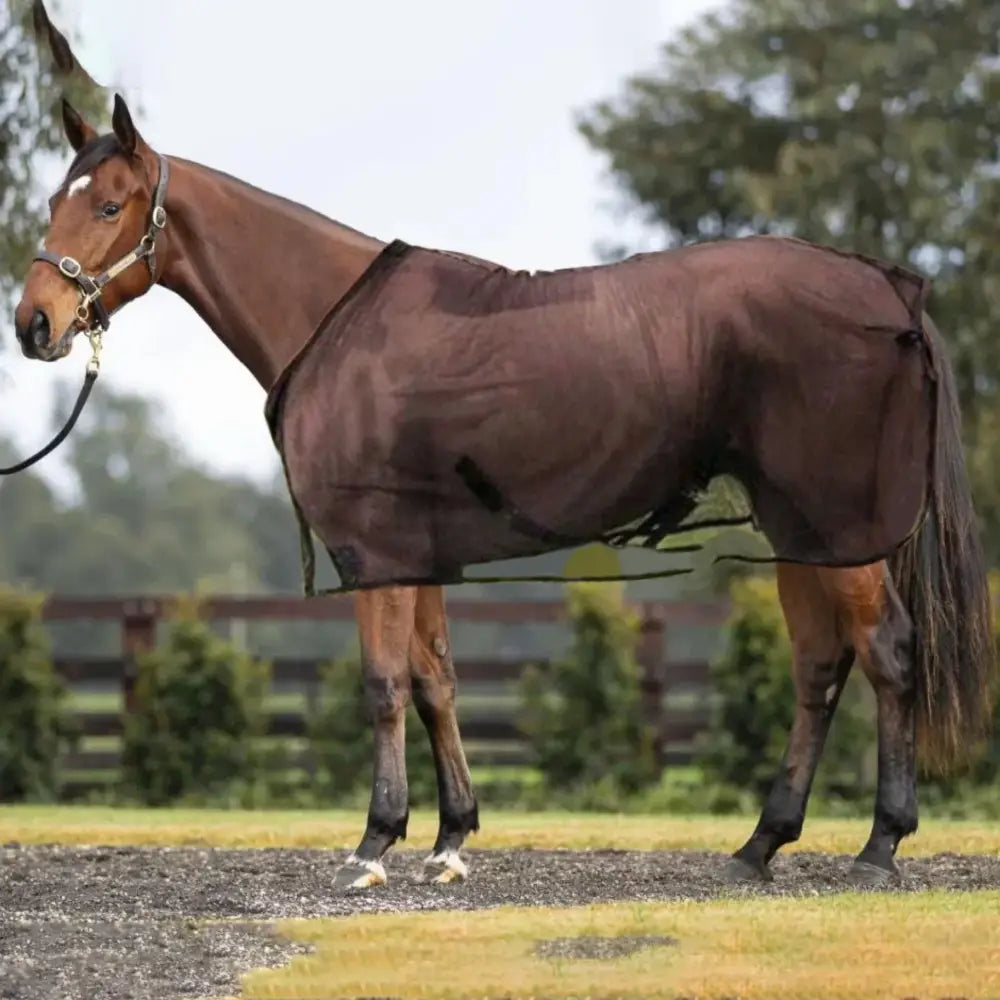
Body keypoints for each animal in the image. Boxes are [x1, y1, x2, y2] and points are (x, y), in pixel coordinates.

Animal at [15, 3, 994, 892]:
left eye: (110, 205)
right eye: (54, 201)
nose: (34, 323)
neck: (336, 319)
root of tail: (891, 288)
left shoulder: (375, 549)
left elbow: (384, 684)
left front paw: (375, 843)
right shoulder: (420, 552)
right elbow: (437, 680)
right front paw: (451, 839)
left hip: (841, 527)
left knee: (888, 653)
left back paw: (878, 846)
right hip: (801, 529)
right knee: (821, 665)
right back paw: (761, 843)